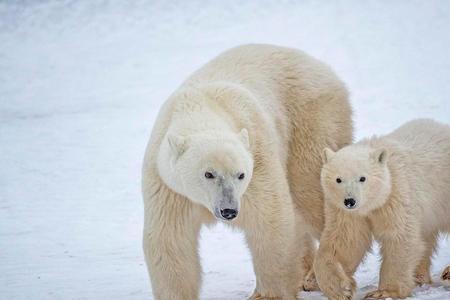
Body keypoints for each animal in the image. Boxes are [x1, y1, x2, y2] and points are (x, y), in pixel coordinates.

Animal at [141, 43, 352, 298]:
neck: (199, 106)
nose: (229, 211)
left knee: (310, 192)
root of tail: (320, 65)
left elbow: (269, 221)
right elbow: (171, 242)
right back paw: (308, 276)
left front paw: (267, 294)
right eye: (208, 174)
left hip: (311, 122)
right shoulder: (168, 187)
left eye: (240, 175)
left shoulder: (257, 157)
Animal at [314, 118, 450, 298]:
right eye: (338, 179)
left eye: (362, 178)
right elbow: (345, 241)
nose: (350, 201)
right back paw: (420, 277)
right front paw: (341, 289)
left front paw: (383, 292)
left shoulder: (396, 194)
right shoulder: (346, 212)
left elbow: (399, 237)